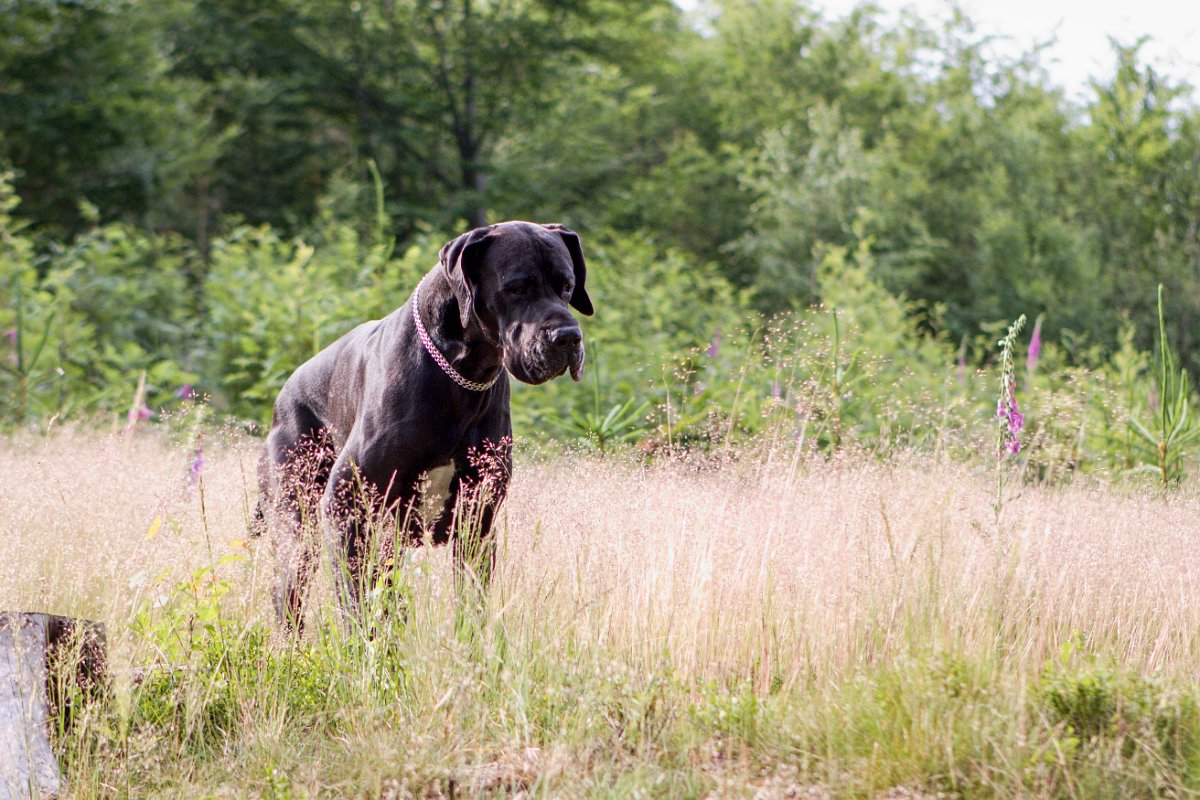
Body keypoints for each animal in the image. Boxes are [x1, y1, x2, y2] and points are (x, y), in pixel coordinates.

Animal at [255, 221, 592, 628]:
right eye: (516, 288)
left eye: (567, 286)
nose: (568, 337)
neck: (462, 373)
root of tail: (283, 395)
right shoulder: (347, 503)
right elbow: (355, 596)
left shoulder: (478, 519)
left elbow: (470, 603)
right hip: (297, 523)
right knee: (289, 595)